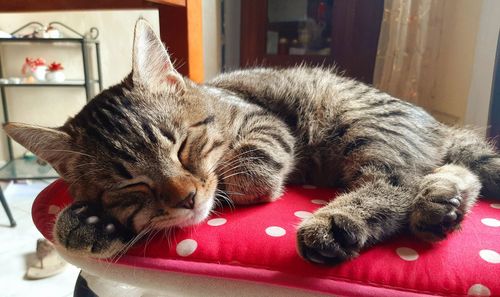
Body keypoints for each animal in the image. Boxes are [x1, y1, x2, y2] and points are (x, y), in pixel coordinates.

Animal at [4, 19, 500, 262]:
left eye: (182, 145)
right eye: (131, 184)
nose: (186, 198)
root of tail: (436, 126)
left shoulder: (265, 120)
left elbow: (250, 167)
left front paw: (235, 184)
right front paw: (90, 222)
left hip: (359, 121)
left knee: (398, 183)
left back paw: (341, 222)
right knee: (454, 172)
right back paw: (441, 204)